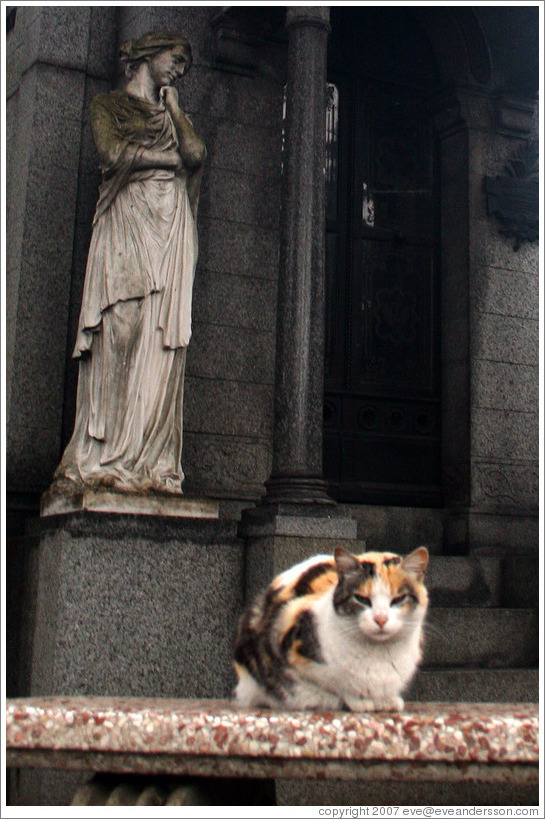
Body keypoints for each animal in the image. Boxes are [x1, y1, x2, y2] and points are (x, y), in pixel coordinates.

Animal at [234, 548, 430, 716]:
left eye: (399, 599)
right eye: (361, 599)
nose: (380, 619)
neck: (379, 655)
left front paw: (387, 700)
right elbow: (319, 685)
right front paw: (353, 700)